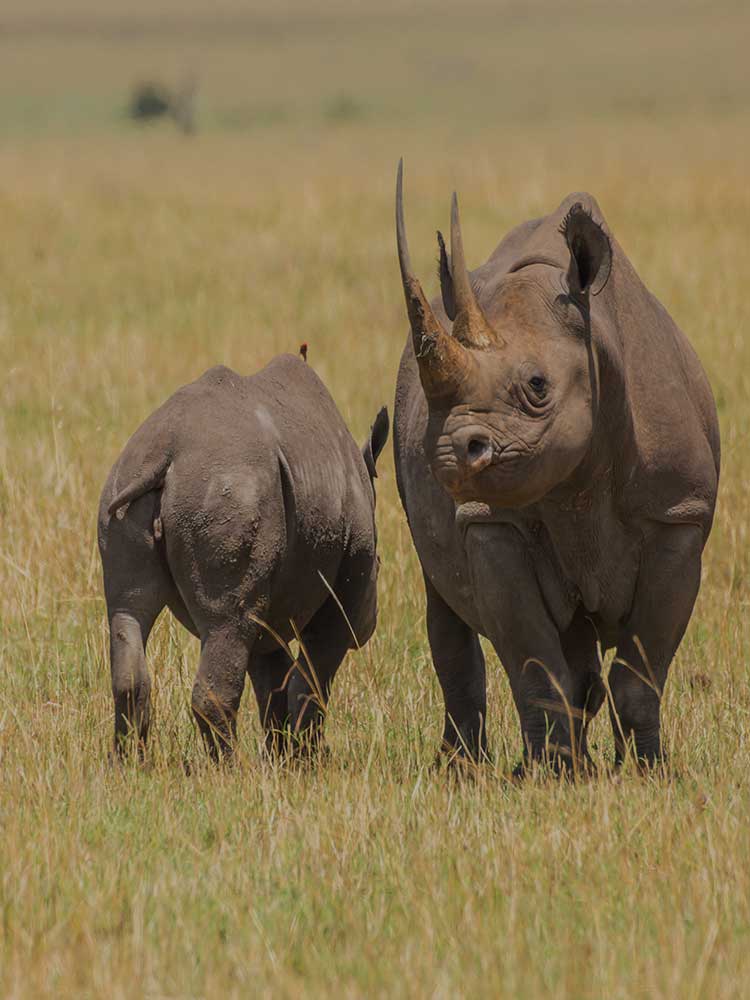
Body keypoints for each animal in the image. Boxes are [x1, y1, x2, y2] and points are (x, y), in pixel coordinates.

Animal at [98, 354, 389, 758]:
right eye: (379, 564)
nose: (370, 624)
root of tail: (165, 453)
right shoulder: (343, 588)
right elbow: (312, 676)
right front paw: (309, 759)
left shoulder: (271, 601)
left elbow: (273, 679)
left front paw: (283, 757)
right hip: (227, 492)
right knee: (227, 624)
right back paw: (229, 768)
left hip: (125, 488)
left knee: (128, 612)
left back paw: (129, 764)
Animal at [393, 162, 719, 771]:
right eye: (432, 404)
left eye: (538, 386)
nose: (449, 453)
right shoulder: (492, 522)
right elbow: (537, 668)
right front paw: (549, 776)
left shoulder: (678, 515)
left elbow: (641, 671)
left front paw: (650, 773)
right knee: (449, 604)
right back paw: (465, 769)